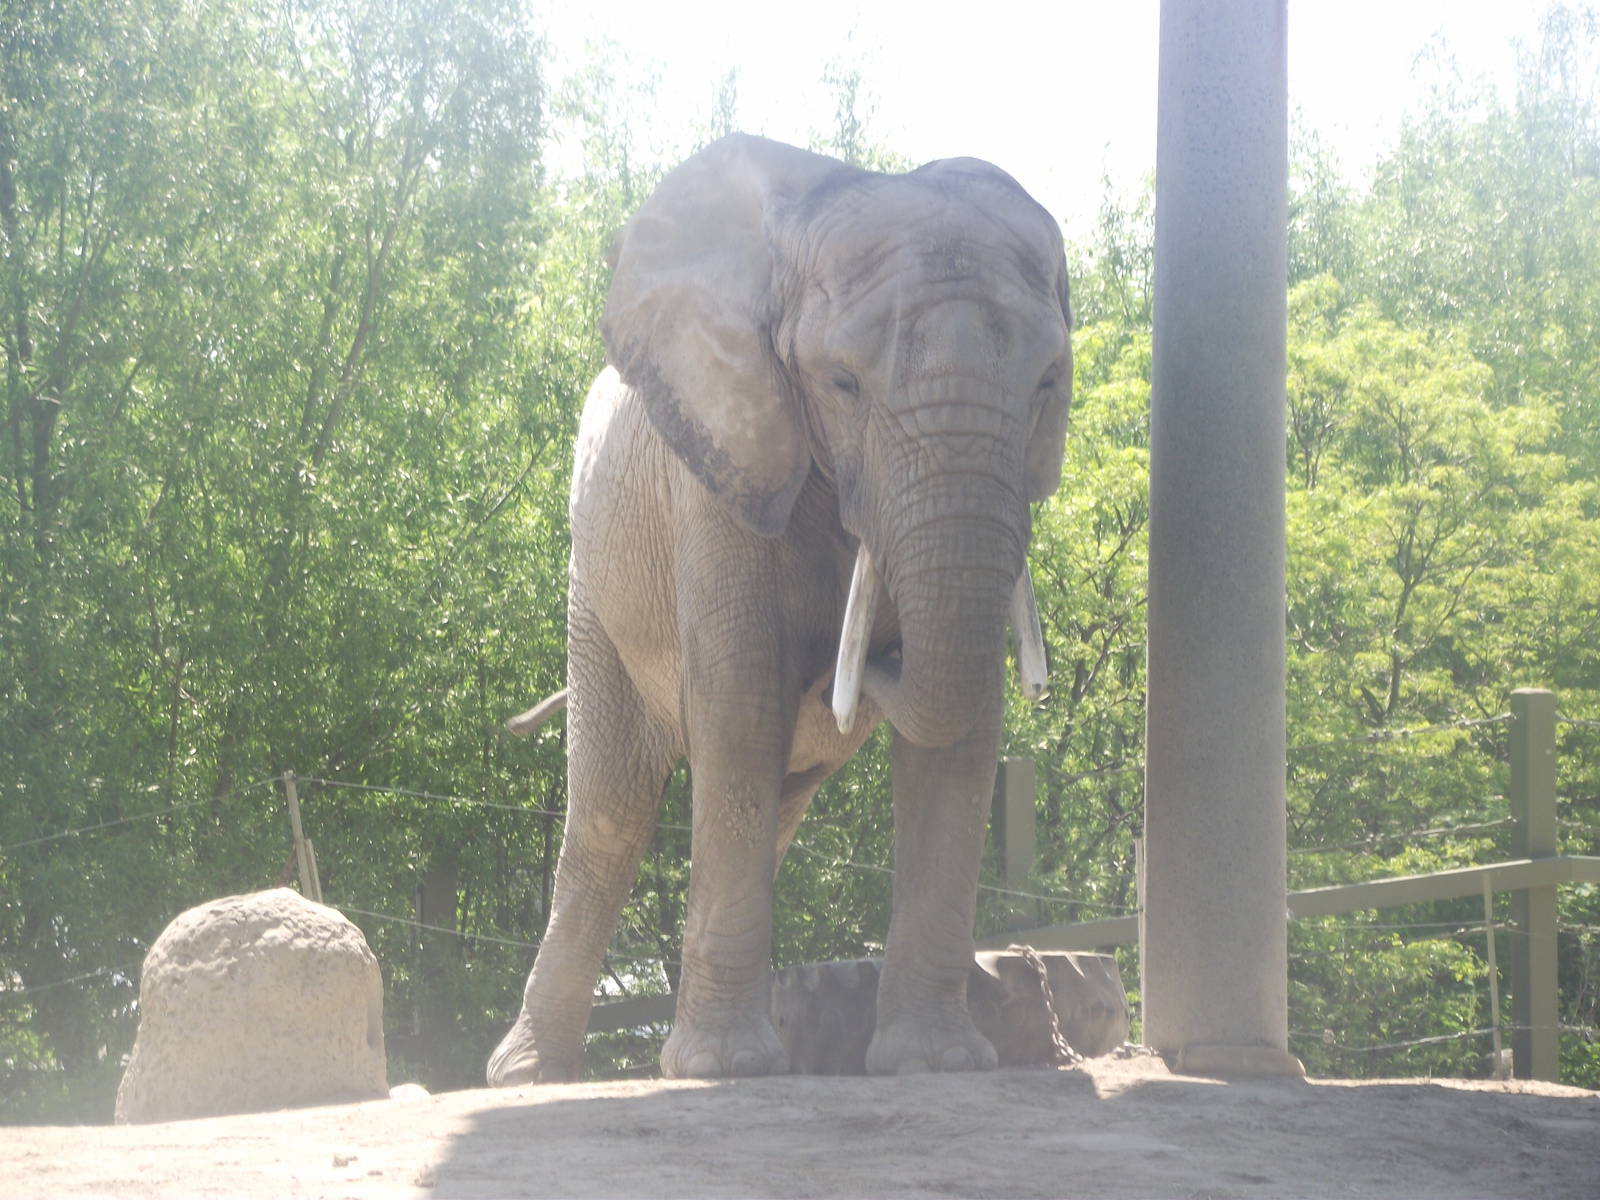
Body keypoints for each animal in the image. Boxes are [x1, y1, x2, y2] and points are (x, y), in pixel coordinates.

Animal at [488, 133, 1071, 1084]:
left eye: (1050, 382)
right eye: (840, 383)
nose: (871, 655)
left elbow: (963, 727)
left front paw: (940, 1063)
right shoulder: (715, 474)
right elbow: (741, 701)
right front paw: (722, 1071)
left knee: (774, 808)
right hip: (595, 594)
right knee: (609, 814)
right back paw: (529, 1077)